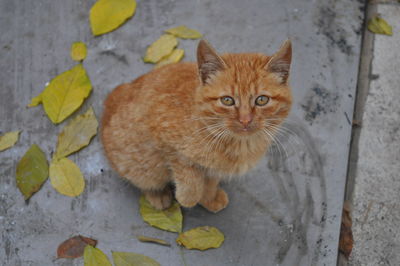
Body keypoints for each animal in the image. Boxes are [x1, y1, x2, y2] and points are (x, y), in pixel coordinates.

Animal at [101, 39, 292, 213]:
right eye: (227, 100)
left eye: (262, 100)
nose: (245, 120)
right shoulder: (164, 140)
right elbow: (189, 179)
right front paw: (187, 197)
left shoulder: (214, 169)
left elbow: (209, 182)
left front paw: (209, 197)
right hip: (136, 162)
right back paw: (158, 194)